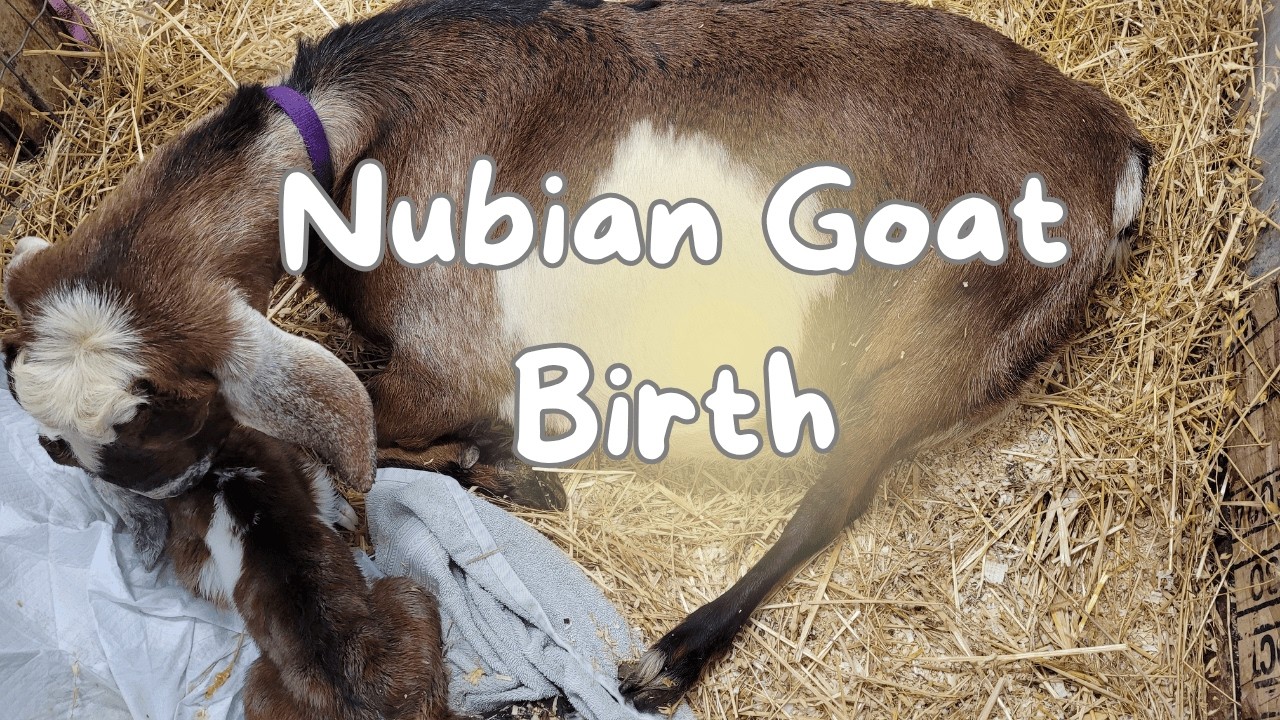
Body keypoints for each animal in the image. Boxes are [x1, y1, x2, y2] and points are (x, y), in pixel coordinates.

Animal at [2, 0, 1150, 710]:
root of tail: (1115, 147)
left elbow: (384, 430)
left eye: (163, 436)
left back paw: (664, 658)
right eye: (58, 447)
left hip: (941, 334)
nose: (155, 538)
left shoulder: (448, 360)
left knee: (836, 489)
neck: (366, 134)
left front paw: (506, 467)